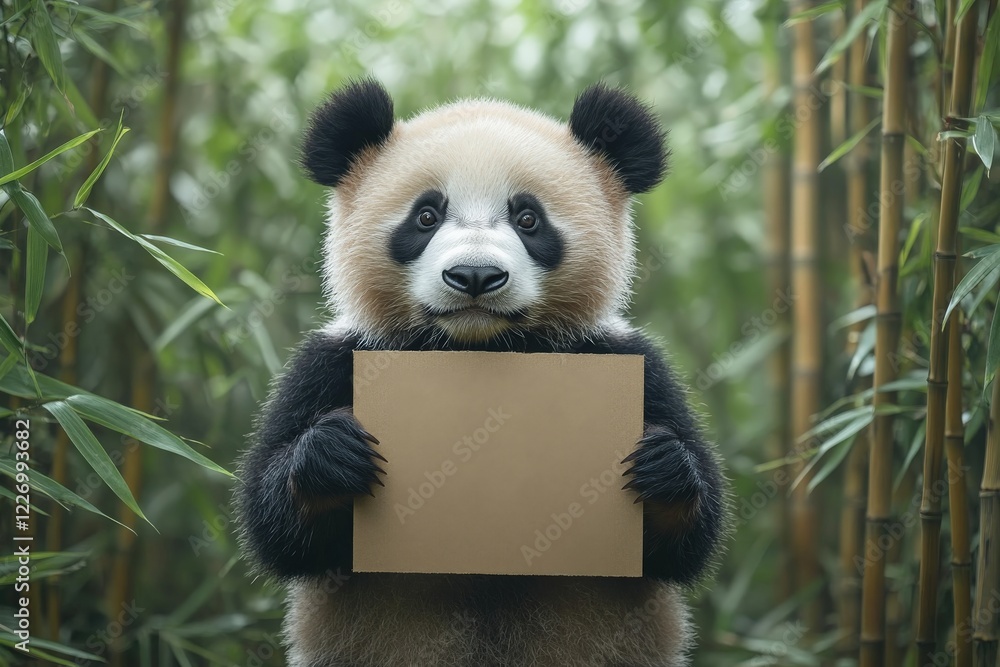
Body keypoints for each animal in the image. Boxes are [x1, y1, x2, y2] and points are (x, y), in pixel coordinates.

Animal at [235, 78, 728, 667]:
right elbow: (276, 526)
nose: (474, 275)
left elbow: (688, 543)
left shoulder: (628, 361)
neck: (480, 344)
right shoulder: (334, 362)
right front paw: (334, 454)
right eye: (426, 216)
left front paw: (661, 464)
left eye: (528, 218)